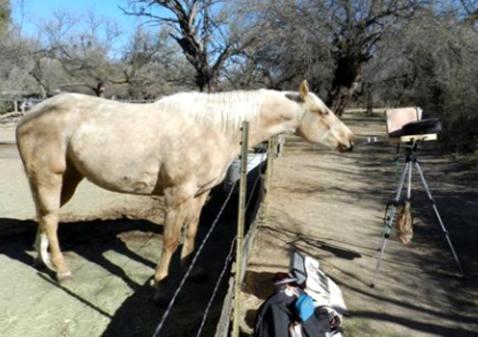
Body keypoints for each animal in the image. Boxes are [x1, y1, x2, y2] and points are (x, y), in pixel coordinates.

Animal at [15, 80, 352, 284]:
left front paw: (190, 269)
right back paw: (62, 271)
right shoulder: (176, 195)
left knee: (44, 216)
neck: (214, 127)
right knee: (51, 219)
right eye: (322, 111)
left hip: (66, 179)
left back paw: (43, 262)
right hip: (51, 177)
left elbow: (191, 233)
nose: (349, 141)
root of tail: (28, 115)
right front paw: (159, 286)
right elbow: (170, 239)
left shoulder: (199, 194)